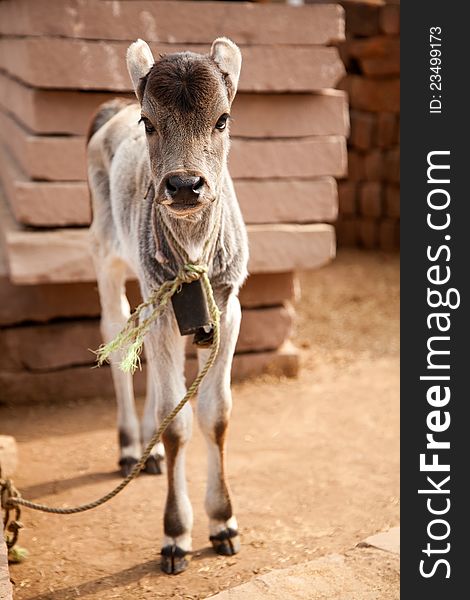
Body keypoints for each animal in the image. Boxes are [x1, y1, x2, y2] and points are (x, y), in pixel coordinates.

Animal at [88, 39, 250, 576]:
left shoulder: (229, 306)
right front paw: (176, 534)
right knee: (117, 336)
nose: (183, 186)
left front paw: (223, 523)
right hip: (104, 248)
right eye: (150, 122)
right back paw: (130, 446)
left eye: (222, 119)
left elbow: (216, 413)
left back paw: (148, 449)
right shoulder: (164, 309)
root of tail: (110, 111)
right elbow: (176, 420)